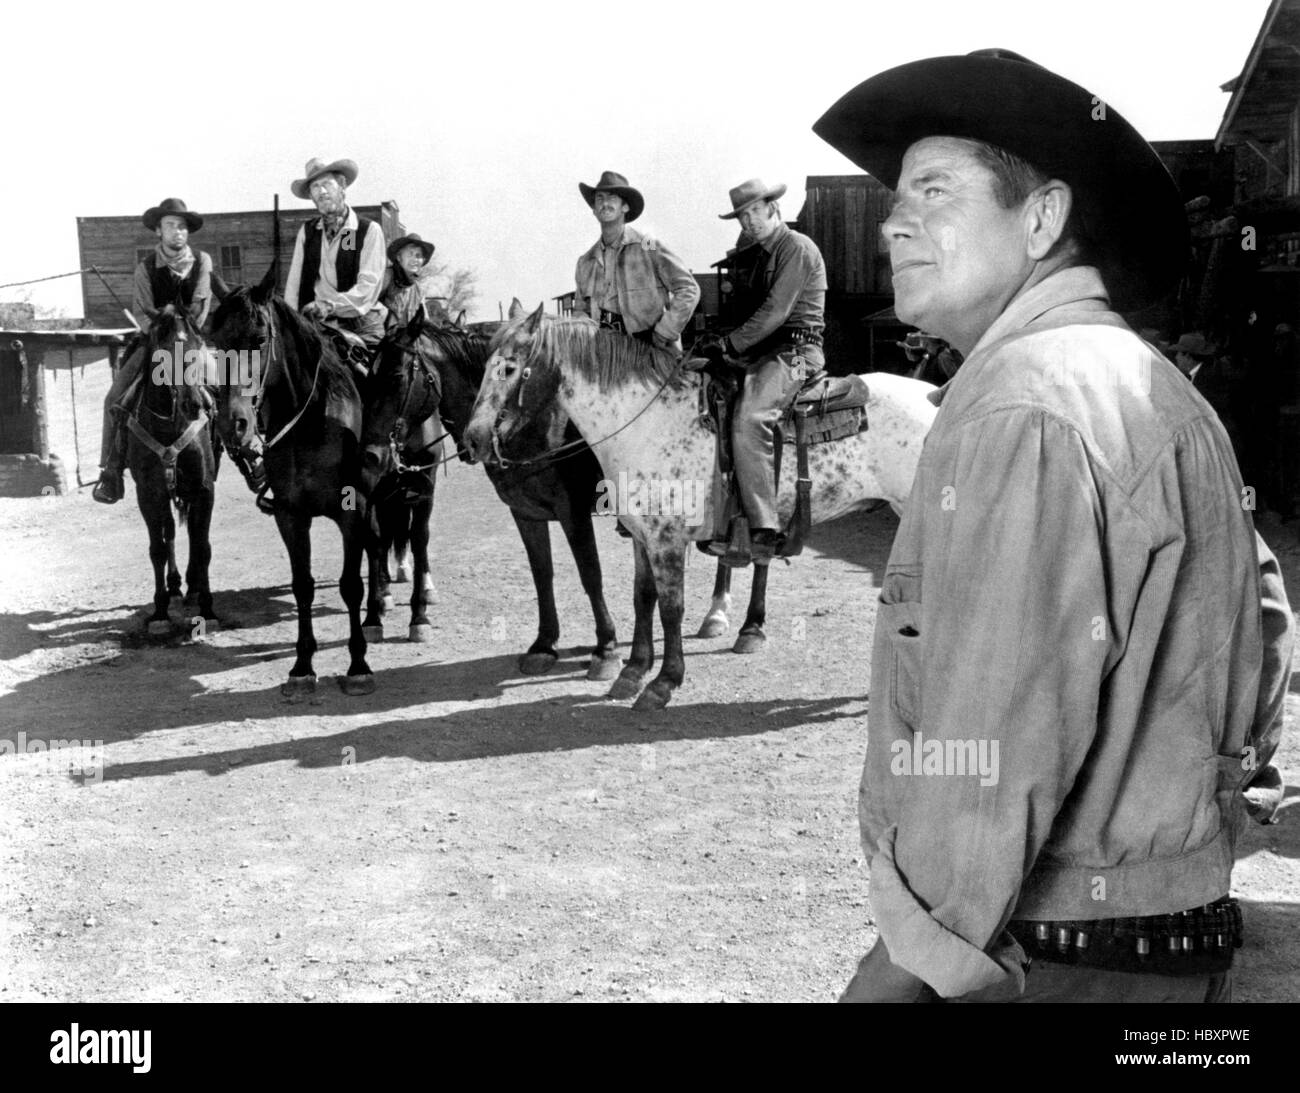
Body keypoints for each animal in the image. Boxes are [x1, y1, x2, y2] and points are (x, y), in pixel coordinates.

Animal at [125, 302, 219, 634]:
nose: (194, 403)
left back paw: (190, 587)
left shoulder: (204, 489)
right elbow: (158, 548)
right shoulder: (148, 494)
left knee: (189, 532)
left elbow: (202, 546)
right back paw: (176, 586)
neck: (169, 425)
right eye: (162, 350)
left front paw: (207, 608)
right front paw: (160, 612)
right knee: (169, 533)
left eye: (196, 344)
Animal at [210, 265, 377, 696]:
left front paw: (358, 665)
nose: (233, 424)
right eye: (215, 342)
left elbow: (351, 584)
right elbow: (302, 584)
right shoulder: (290, 515)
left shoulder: (352, 511)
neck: (312, 420)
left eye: (258, 338)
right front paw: (302, 666)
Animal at [358, 311, 621, 675]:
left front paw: (606, 648)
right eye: (368, 378)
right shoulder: (525, 513)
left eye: (396, 376)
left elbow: (590, 574)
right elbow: (542, 574)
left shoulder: (574, 512)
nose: (371, 455)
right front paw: (544, 645)